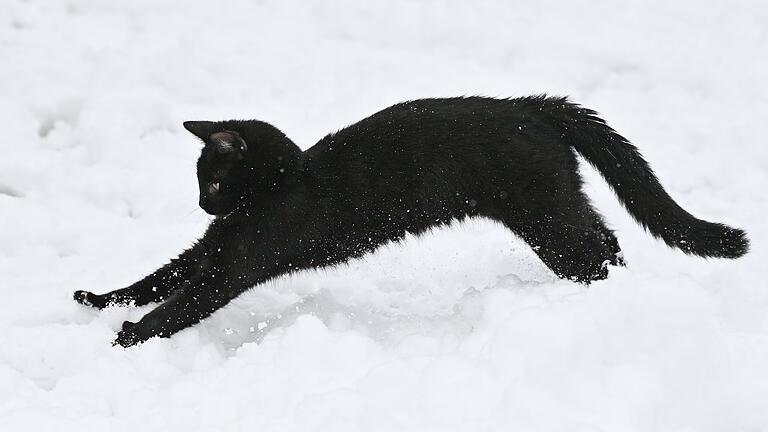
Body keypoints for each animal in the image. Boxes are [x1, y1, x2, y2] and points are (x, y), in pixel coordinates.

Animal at [73, 96, 752, 346]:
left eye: (211, 180)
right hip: (556, 208)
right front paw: (100, 300)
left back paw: (607, 300)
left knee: (598, 247)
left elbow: (180, 302)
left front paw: (128, 338)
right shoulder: (212, 248)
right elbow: (160, 276)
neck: (283, 184)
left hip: (546, 215)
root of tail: (533, 104)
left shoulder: (234, 266)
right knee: (604, 238)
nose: (202, 207)